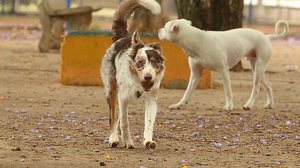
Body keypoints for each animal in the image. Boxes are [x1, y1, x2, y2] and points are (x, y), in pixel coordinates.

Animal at [102, 0, 165, 150]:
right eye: (140, 62)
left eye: (154, 62)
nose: (148, 77)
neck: (138, 85)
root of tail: (122, 38)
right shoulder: (122, 98)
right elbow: (124, 121)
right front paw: (128, 141)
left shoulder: (151, 100)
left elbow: (149, 122)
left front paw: (148, 141)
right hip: (111, 90)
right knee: (113, 116)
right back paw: (113, 138)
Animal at [158, 19, 290, 111]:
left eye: (165, 27)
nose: (158, 30)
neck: (198, 41)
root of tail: (266, 36)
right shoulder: (195, 74)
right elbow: (187, 92)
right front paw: (178, 105)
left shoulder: (223, 70)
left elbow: (228, 91)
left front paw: (229, 106)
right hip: (257, 69)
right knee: (268, 85)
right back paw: (270, 104)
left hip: (258, 68)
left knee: (256, 88)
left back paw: (248, 105)